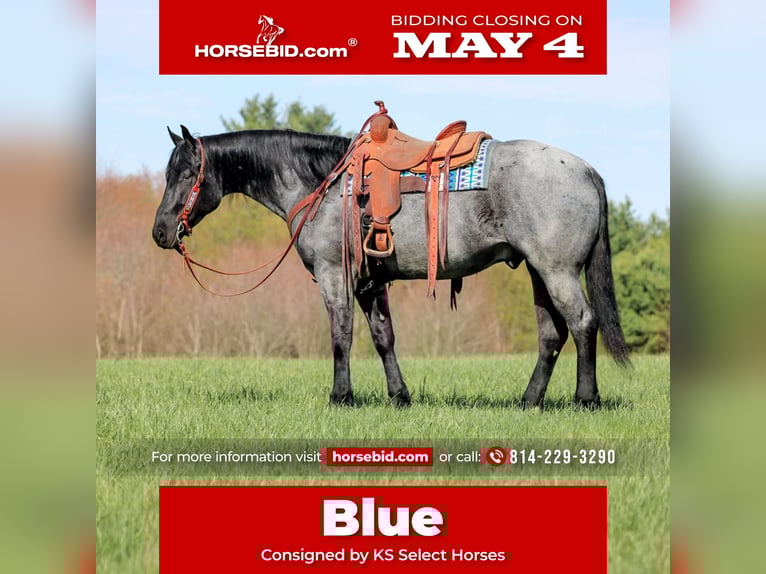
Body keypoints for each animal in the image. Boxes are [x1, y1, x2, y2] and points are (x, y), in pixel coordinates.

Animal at [152, 122, 630, 409]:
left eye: (186, 173)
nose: (160, 232)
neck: (321, 184)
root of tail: (586, 170)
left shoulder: (335, 277)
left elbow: (341, 336)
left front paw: (341, 396)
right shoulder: (371, 283)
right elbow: (384, 338)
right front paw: (400, 396)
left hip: (557, 271)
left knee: (583, 324)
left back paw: (587, 399)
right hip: (538, 271)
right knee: (552, 334)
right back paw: (529, 401)